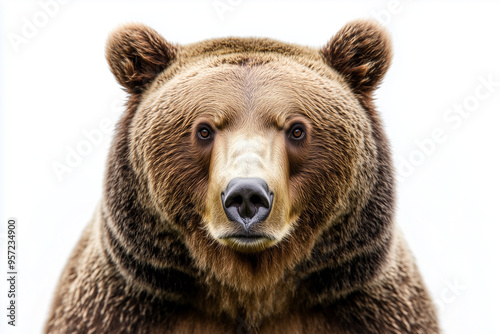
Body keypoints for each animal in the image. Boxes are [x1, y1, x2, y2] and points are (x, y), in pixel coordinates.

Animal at [46, 19, 438, 332]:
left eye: (297, 129)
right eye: (204, 129)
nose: (247, 197)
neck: (250, 290)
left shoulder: (366, 308)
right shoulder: (122, 306)